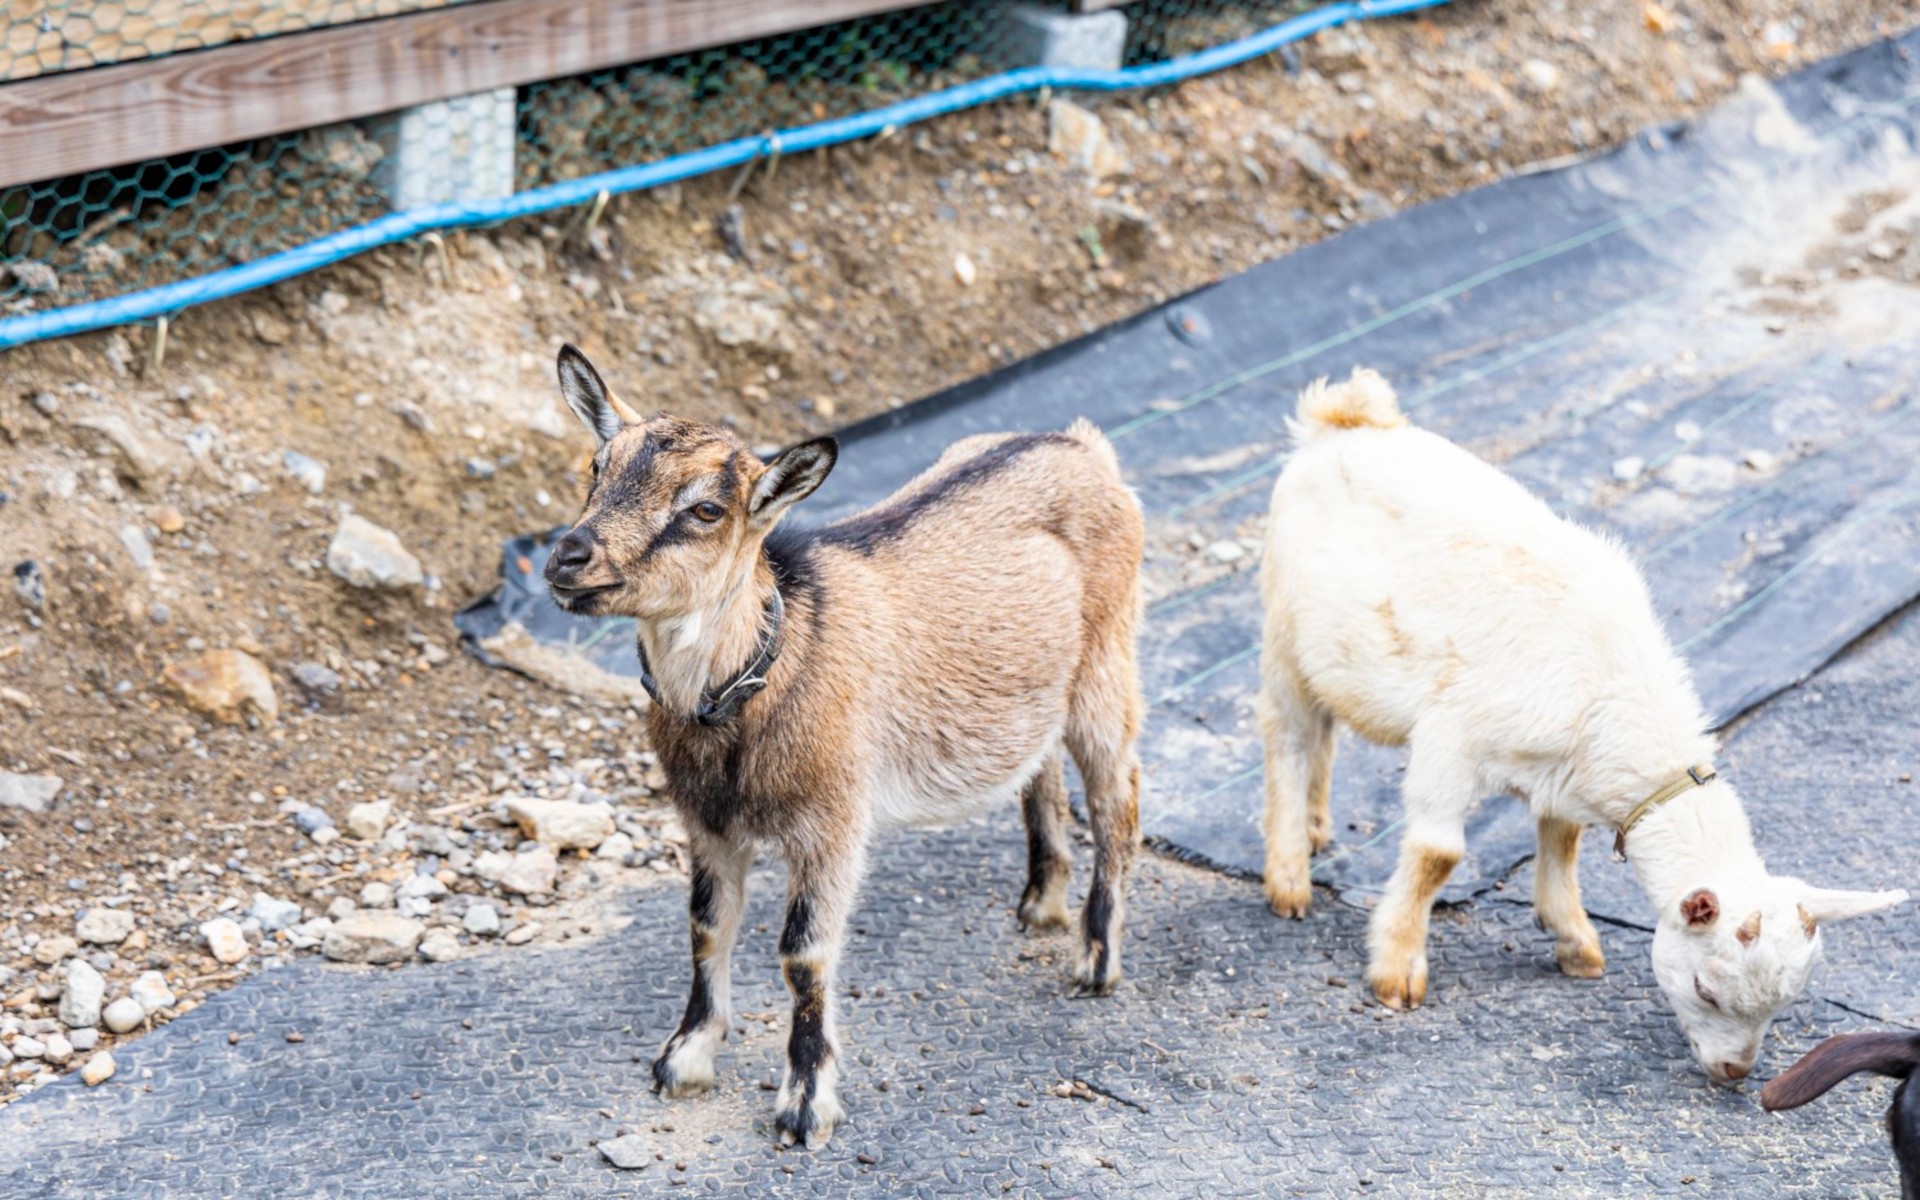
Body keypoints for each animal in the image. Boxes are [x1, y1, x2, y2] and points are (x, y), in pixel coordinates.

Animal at [541, 343, 1136, 1144]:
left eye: (706, 509)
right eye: (596, 468)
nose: (568, 558)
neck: (766, 666)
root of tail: (1084, 447)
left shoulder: (832, 822)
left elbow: (803, 954)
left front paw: (804, 1102)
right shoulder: (707, 823)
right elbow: (706, 927)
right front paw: (685, 1058)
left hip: (1105, 665)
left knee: (1118, 796)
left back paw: (1095, 961)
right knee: (1039, 769)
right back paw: (1041, 902)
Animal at [1259, 364, 1904, 1075]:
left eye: (1783, 1004)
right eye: (1706, 987)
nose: (1734, 1074)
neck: (1612, 687)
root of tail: (1345, 421)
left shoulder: (1563, 770)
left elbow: (1562, 838)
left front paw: (1572, 937)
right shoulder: (1451, 738)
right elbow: (1436, 855)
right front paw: (1397, 968)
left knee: (1325, 732)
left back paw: (1316, 830)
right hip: (1283, 630)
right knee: (1289, 738)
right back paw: (1288, 875)